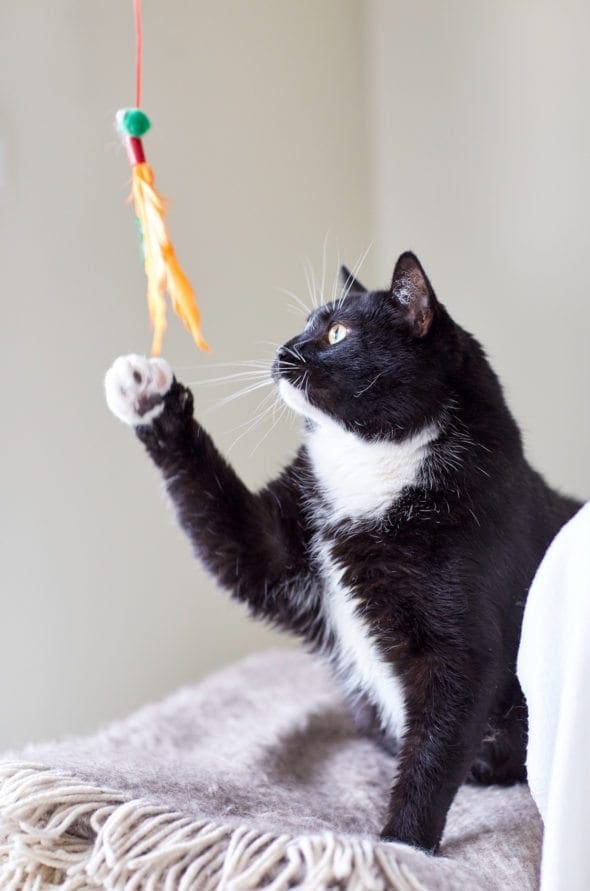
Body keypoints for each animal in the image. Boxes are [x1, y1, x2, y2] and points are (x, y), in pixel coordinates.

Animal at [104, 254, 580, 852]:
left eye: (337, 333)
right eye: (306, 323)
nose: (283, 350)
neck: (369, 466)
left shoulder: (464, 643)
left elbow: (438, 744)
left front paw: (402, 847)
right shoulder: (278, 543)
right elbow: (225, 527)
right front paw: (148, 399)